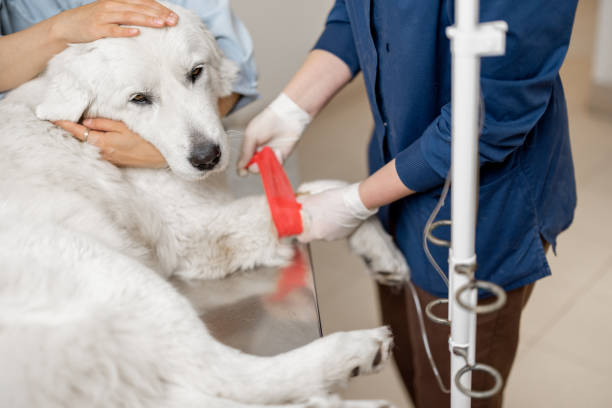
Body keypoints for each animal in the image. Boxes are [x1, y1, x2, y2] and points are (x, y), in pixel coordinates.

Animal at [0, 3, 408, 408]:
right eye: (139, 99)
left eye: (195, 73)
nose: (207, 157)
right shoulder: (197, 233)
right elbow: (310, 196)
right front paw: (370, 236)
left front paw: (378, 250)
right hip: (120, 276)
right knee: (230, 373)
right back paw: (353, 351)